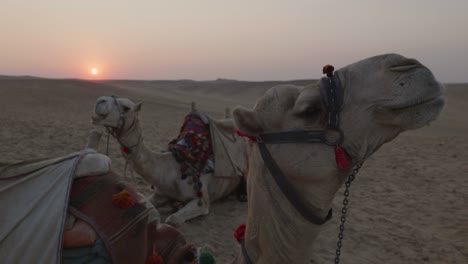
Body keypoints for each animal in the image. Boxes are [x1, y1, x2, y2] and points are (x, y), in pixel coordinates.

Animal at [89, 98, 247, 226]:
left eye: (126, 107)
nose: (99, 101)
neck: (172, 169)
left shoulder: (202, 201)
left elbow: (173, 220)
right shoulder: (160, 194)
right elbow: (146, 203)